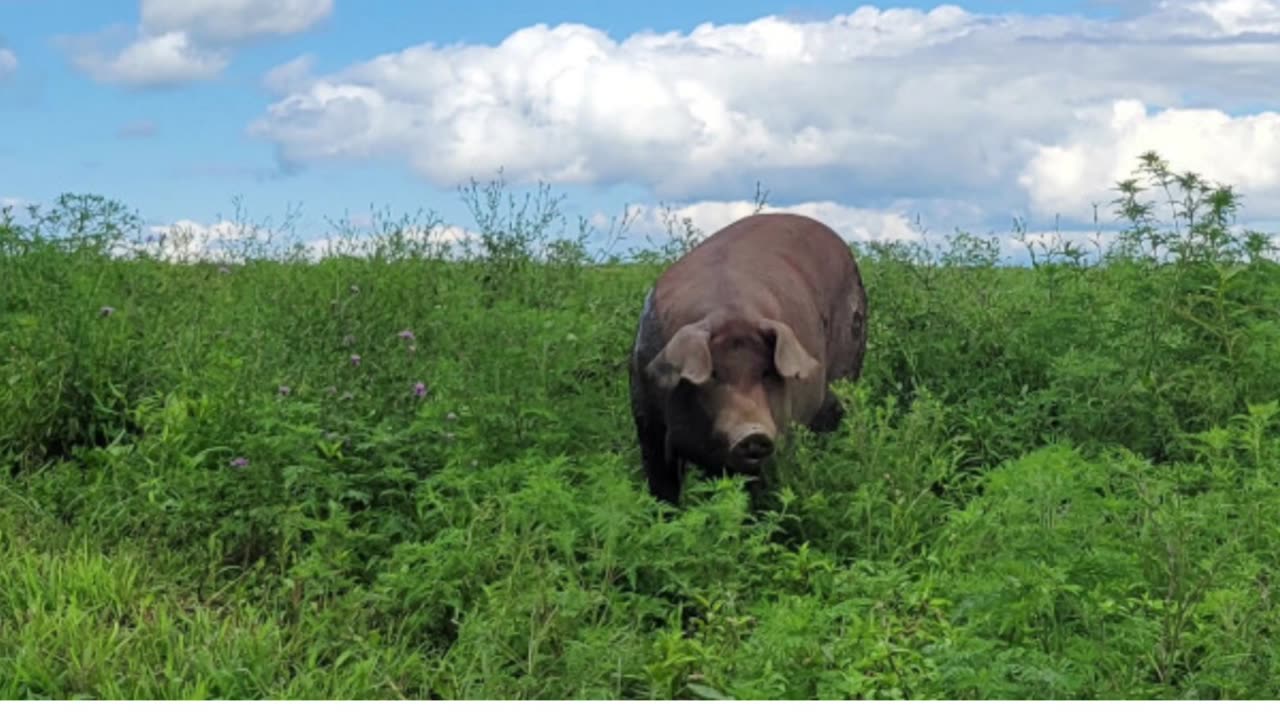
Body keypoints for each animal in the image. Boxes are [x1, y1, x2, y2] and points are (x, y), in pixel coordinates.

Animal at [627, 210, 870, 502]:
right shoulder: (647, 424)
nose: (753, 433)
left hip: (847, 372)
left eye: (766, 372)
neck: (729, 312)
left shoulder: (780, 432)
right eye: (713, 374)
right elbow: (662, 490)